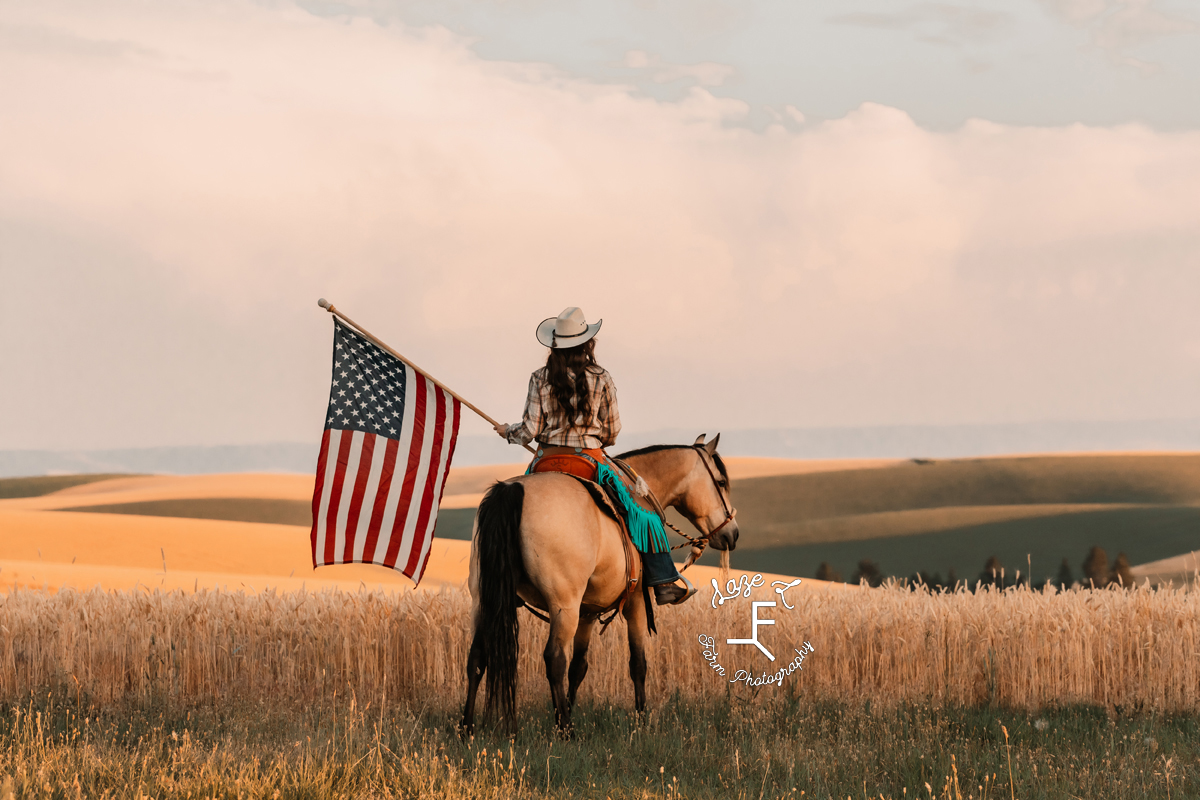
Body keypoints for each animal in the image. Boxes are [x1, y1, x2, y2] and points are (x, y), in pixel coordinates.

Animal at [460, 434, 734, 734]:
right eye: (721, 482)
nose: (732, 534)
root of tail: (511, 490)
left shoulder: (588, 612)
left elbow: (579, 667)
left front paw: (570, 707)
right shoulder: (636, 603)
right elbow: (638, 663)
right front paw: (641, 720)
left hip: (485, 600)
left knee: (477, 657)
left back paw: (467, 728)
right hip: (563, 605)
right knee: (554, 659)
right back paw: (566, 730)